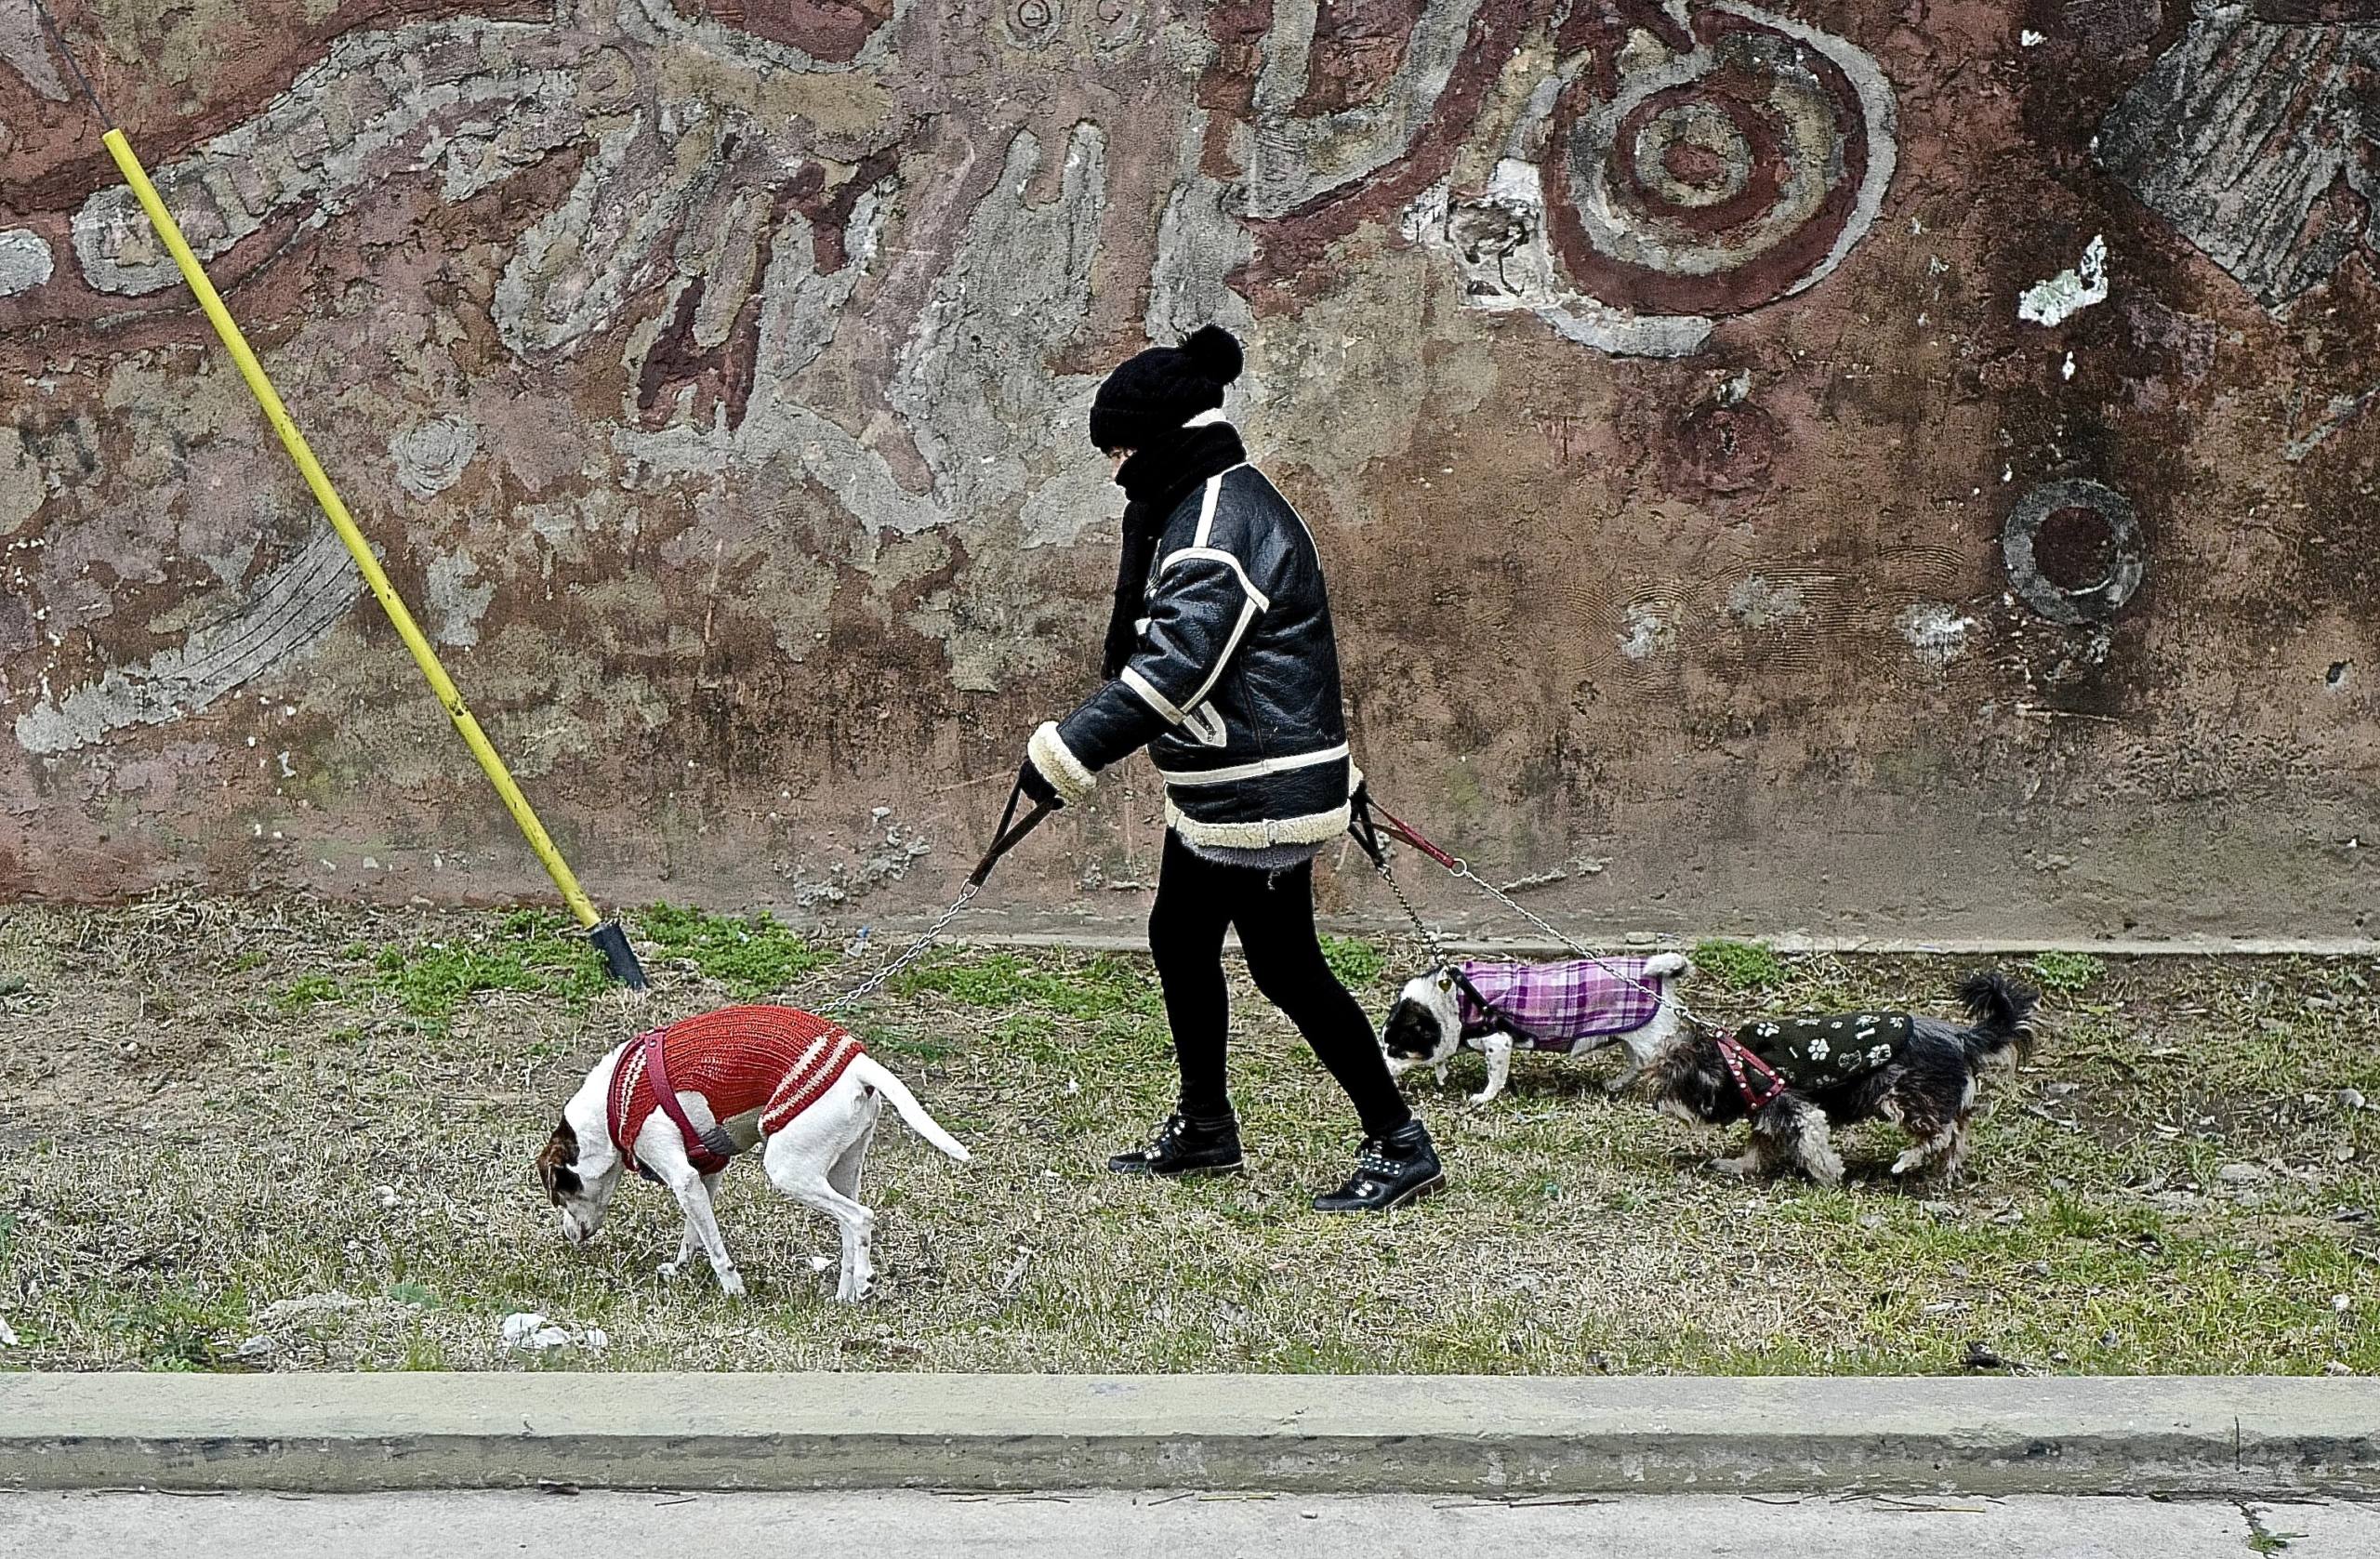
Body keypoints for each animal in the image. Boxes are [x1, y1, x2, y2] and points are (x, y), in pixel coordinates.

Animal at [540, 1004, 966, 1294]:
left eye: (560, 1196)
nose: (568, 1236)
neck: (613, 1103)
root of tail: (858, 1064)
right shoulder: (704, 1178)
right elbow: (694, 1234)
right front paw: (680, 1269)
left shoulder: (683, 1178)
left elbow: (714, 1248)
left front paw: (732, 1289)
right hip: (842, 1171)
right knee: (848, 1224)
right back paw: (846, 1294)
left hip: (789, 1171)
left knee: (860, 1218)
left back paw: (861, 1281)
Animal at [1380, 952, 1694, 1109]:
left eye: (1395, 1049)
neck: (1450, 1000)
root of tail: (1660, 978)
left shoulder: (1498, 1043)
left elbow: (1495, 1078)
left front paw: (1483, 1098)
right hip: (1632, 1039)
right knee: (1636, 1065)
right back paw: (1615, 1084)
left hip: (1651, 1043)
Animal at [1646, 975, 2037, 1185]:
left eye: (1670, 1082)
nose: (1653, 1102)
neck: (1734, 1064)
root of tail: (1962, 1039)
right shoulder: (1768, 1114)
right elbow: (1758, 1146)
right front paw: (1739, 1166)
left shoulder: (1794, 1107)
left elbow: (1813, 1145)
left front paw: (1829, 1175)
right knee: (1956, 1136)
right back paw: (1943, 1172)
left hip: (1904, 1097)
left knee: (1941, 1133)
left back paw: (1906, 1160)